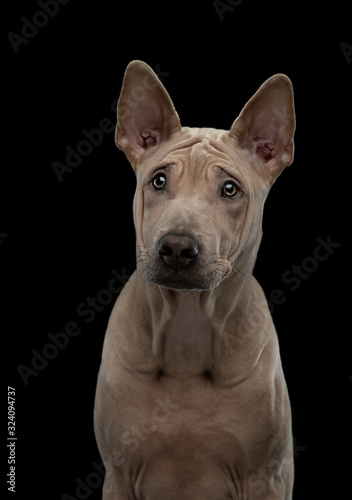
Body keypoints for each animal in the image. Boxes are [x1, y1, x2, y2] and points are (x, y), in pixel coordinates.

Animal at [93, 60, 294, 498]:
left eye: (230, 189)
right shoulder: (119, 475)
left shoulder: (265, 477)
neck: (187, 329)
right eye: (159, 180)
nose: (177, 247)